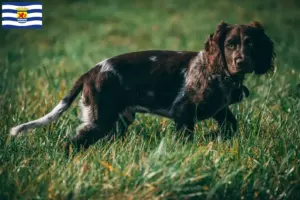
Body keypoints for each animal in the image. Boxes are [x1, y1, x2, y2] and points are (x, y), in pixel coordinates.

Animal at [11, 21, 274, 150]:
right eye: (230, 45)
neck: (219, 73)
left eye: (251, 44)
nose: (241, 61)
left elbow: (231, 126)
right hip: (100, 119)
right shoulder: (183, 113)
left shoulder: (220, 110)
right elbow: (187, 138)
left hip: (117, 123)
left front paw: (214, 136)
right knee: (72, 143)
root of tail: (91, 71)